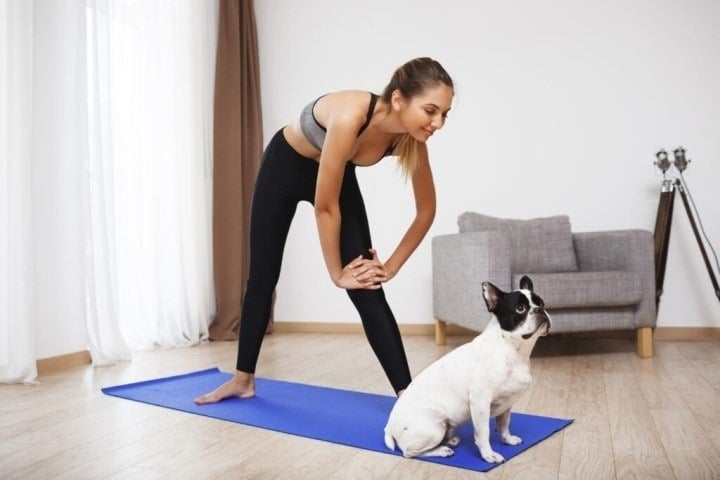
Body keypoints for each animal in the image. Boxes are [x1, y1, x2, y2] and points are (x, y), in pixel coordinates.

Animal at [386, 276, 548, 464]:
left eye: (542, 302)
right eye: (520, 308)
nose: (540, 309)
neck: (512, 349)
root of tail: (388, 427)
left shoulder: (508, 402)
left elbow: (504, 423)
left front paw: (507, 439)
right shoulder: (480, 402)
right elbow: (483, 433)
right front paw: (488, 455)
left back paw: (450, 440)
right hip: (433, 428)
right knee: (409, 452)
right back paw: (441, 450)